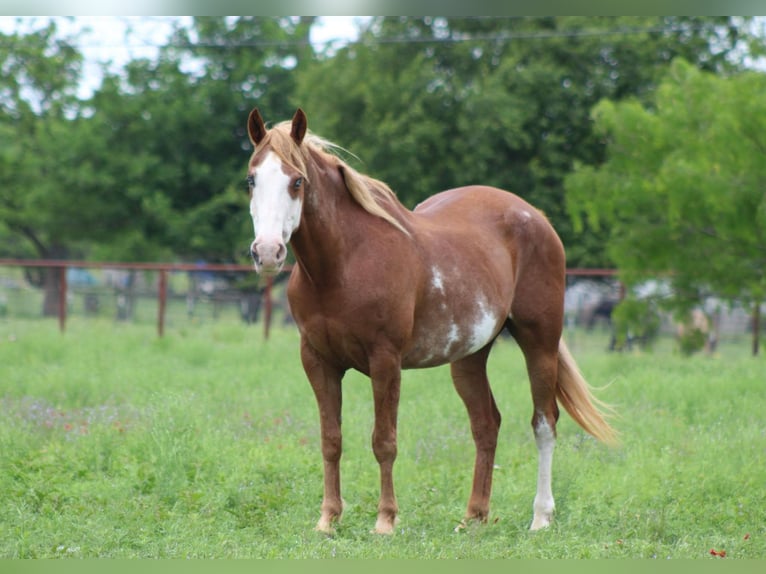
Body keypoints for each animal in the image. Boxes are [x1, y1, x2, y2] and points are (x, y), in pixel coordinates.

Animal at [244, 108, 618, 534]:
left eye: (297, 181)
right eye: (251, 179)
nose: (267, 252)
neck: (343, 263)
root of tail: (536, 217)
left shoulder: (385, 360)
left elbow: (384, 441)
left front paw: (385, 521)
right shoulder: (317, 361)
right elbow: (330, 440)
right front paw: (328, 520)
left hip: (539, 341)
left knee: (544, 422)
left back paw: (540, 517)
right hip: (469, 357)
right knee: (486, 424)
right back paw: (473, 517)